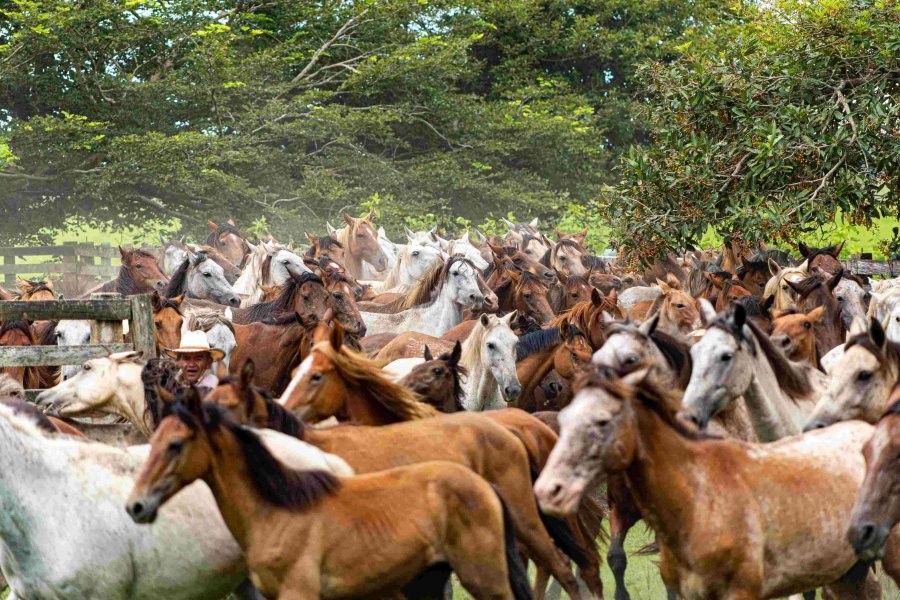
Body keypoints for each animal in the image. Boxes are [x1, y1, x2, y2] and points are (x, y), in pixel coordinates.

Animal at [126, 395, 531, 600]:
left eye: (175, 444)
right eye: (155, 440)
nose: (136, 506)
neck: (275, 511)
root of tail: (484, 487)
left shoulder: (299, 594)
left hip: (486, 580)